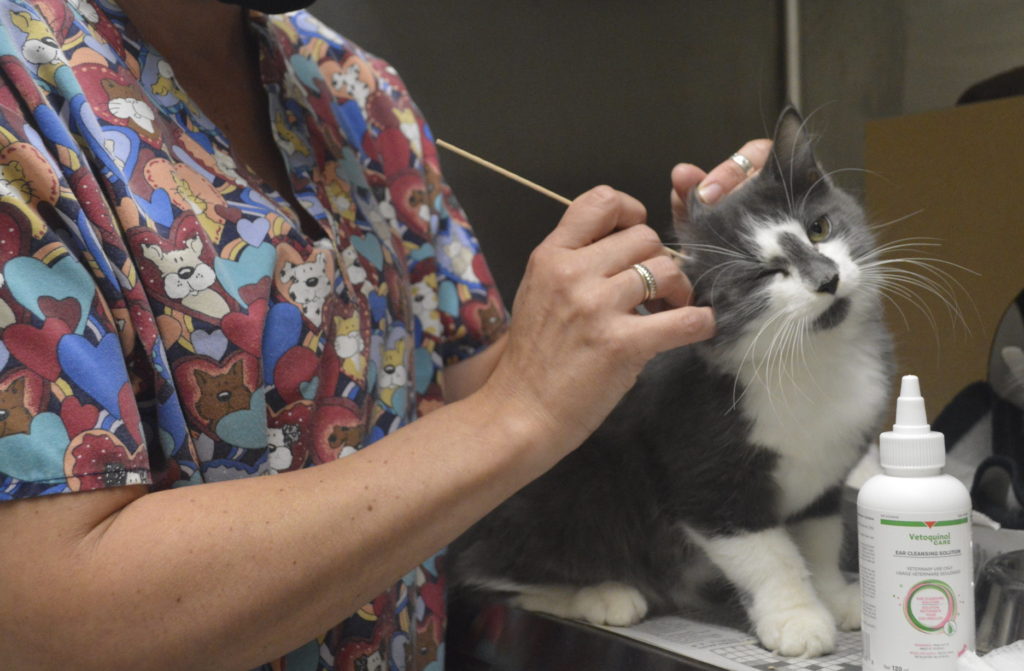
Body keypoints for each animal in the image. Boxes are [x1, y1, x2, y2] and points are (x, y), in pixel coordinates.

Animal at [452, 107, 892, 659]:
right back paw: (601, 593)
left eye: (820, 228)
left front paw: (836, 598)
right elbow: (770, 554)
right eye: (763, 274)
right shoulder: (703, 471)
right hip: (568, 494)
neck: (811, 359)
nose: (827, 279)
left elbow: (819, 537)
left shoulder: (824, 477)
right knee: (483, 570)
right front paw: (796, 618)